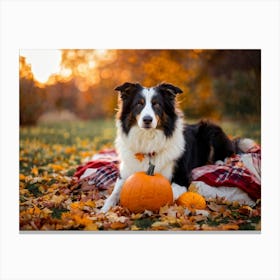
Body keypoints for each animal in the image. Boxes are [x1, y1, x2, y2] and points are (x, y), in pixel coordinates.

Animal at [101, 82, 254, 212]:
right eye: (139, 104)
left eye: (157, 105)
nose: (147, 120)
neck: (148, 139)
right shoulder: (124, 175)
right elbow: (114, 194)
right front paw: (104, 210)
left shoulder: (181, 178)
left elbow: (169, 193)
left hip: (211, 129)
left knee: (228, 153)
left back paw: (219, 162)